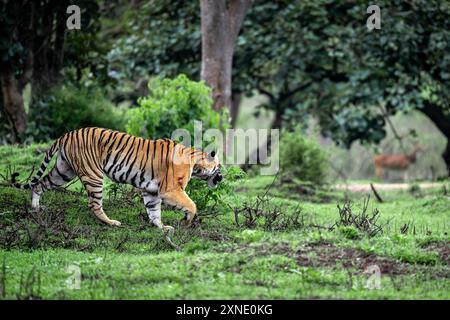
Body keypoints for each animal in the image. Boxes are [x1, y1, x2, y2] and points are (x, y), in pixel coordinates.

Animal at [13, 127, 224, 232]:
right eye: (219, 166)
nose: (222, 177)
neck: (195, 163)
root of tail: (67, 134)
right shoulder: (171, 189)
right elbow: (192, 205)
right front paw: (186, 222)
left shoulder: (151, 191)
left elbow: (154, 211)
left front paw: (161, 227)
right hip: (93, 176)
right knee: (94, 204)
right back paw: (111, 223)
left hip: (63, 171)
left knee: (39, 184)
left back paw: (36, 208)